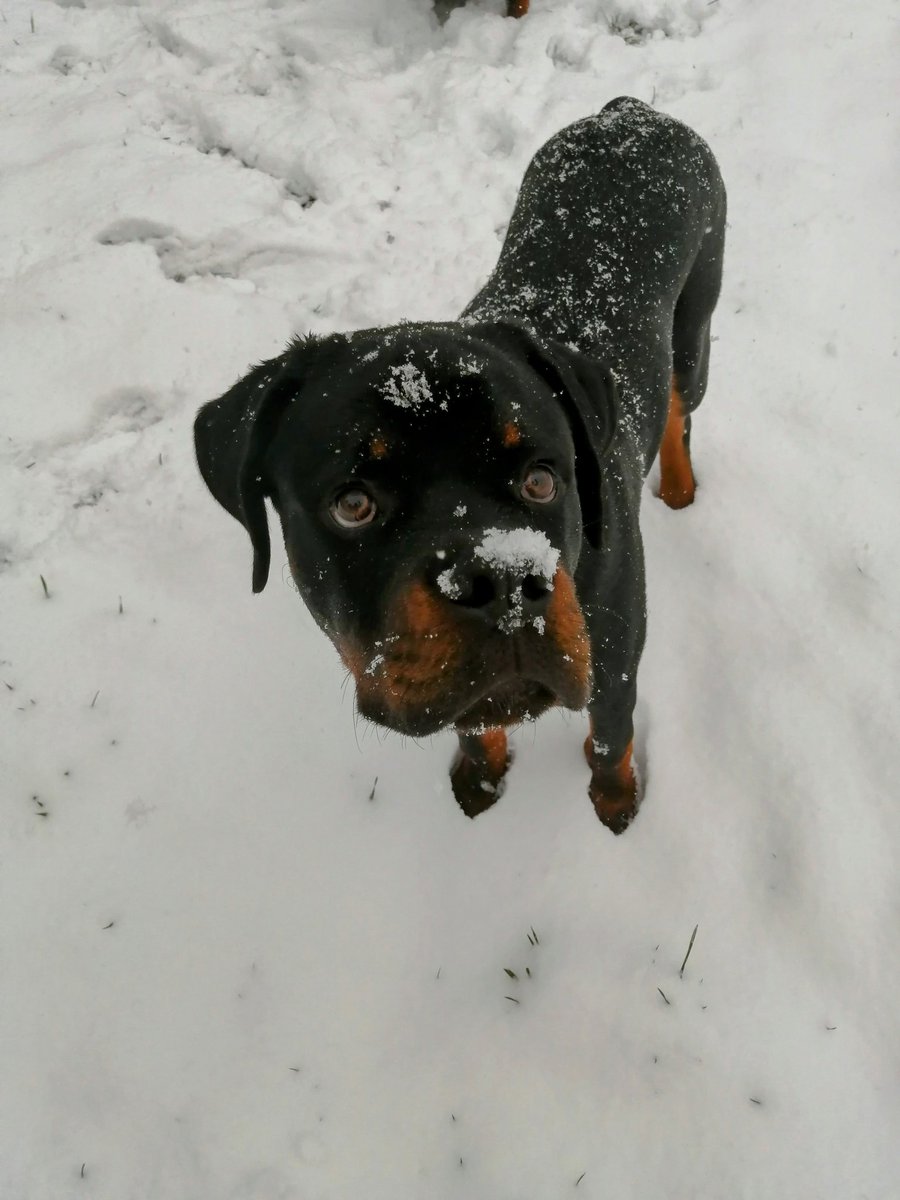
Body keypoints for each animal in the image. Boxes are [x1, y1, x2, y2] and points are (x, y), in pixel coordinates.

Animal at [195, 96, 724, 835]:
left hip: (695, 324)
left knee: (681, 406)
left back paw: (677, 486)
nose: (501, 580)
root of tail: (631, 110)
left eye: (542, 478)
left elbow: (610, 738)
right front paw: (481, 781)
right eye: (352, 503)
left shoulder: (616, 661)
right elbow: (474, 725)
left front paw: (615, 804)